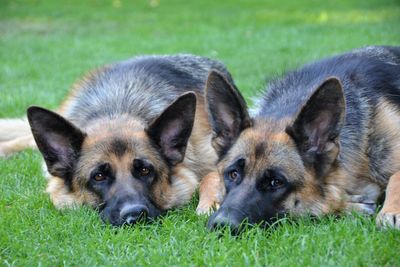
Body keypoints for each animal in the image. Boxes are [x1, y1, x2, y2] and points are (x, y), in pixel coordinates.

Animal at [0, 54, 230, 226]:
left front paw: (209, 204)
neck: (116, 111)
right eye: (99, 176)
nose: (134, 215)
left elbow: (210, 176)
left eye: (145, 170)